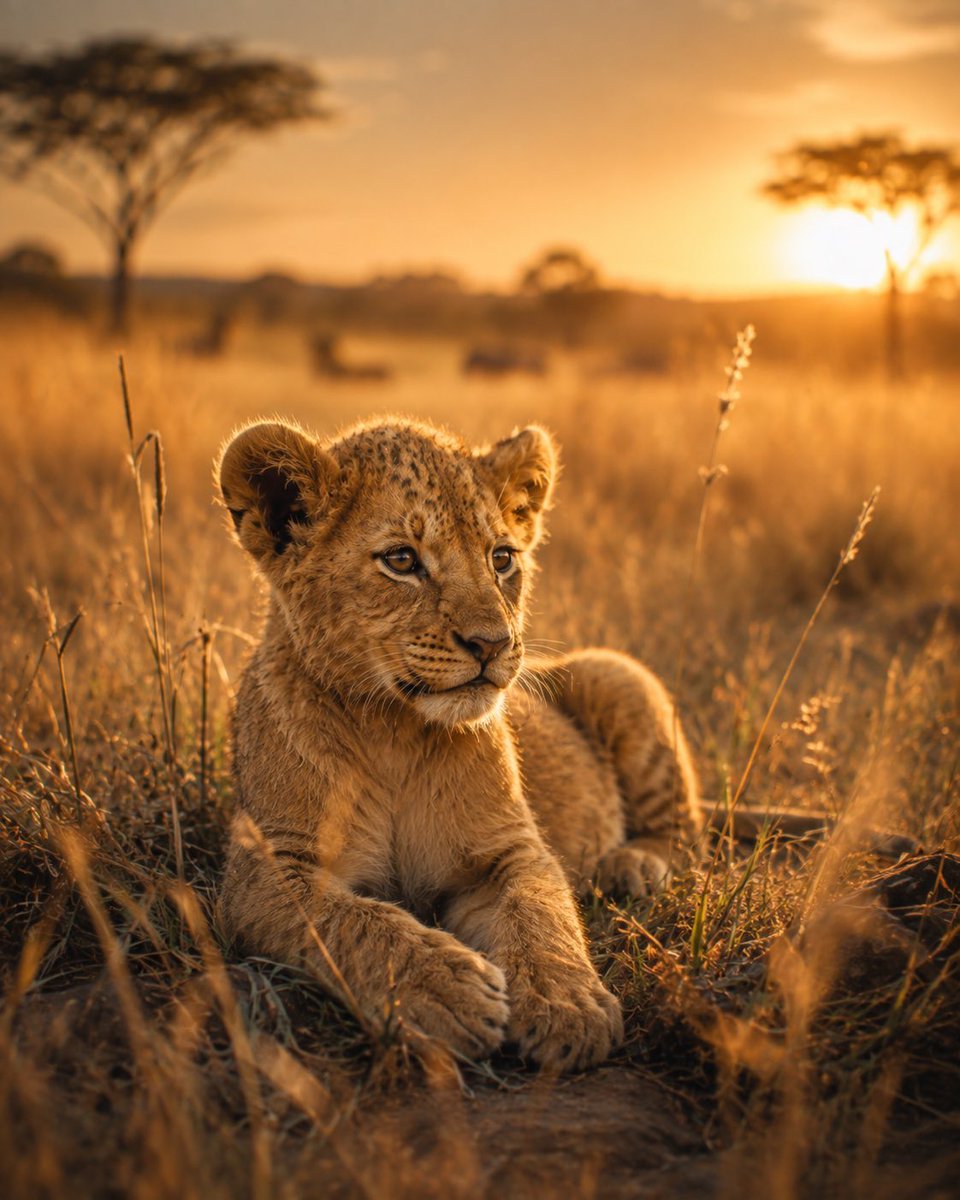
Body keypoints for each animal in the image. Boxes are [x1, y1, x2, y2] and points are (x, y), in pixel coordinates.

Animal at [215, 417, 702, 1073]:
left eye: (502, 558)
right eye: (402, 559)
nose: (493, 643)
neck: (392, 729)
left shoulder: (509, 849)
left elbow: (539, 914)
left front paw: (567, 1003)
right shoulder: (268, 867)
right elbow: (352, 920)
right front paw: (443, 991)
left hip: (616, 672)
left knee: (690, 836)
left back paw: (632, 865)